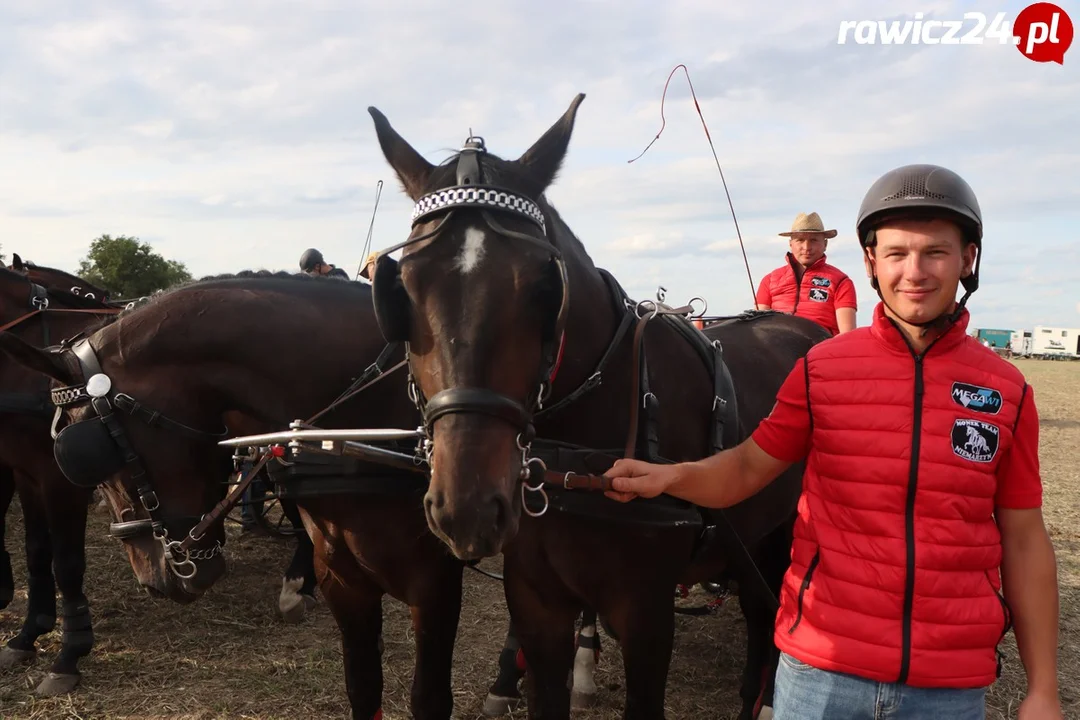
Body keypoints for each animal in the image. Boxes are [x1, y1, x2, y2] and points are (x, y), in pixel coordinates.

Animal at [1, 272, 473, 720]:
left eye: (90, 452)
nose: (152, 582)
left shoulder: (435, 576)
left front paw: (66, 654)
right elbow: (37, 550)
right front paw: (28, 636)